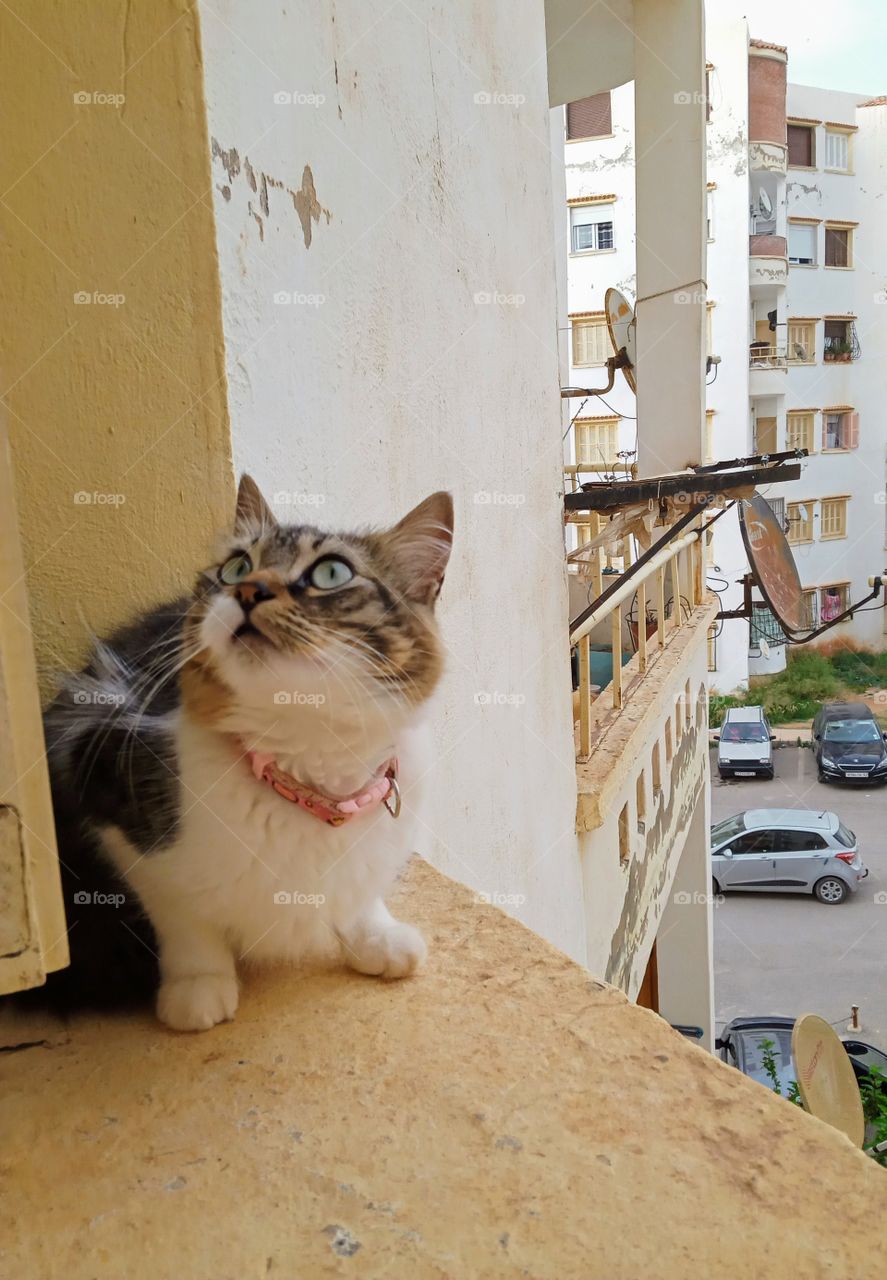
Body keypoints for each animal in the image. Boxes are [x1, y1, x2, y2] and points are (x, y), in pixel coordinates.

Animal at [31, 478, 453, 1029]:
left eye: (331, 573)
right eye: (236, 566)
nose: (249, 590)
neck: (309, 769)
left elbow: (360, 893)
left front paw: (375, 939)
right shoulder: (117, 814)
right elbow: (185, 922)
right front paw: (198, 988)